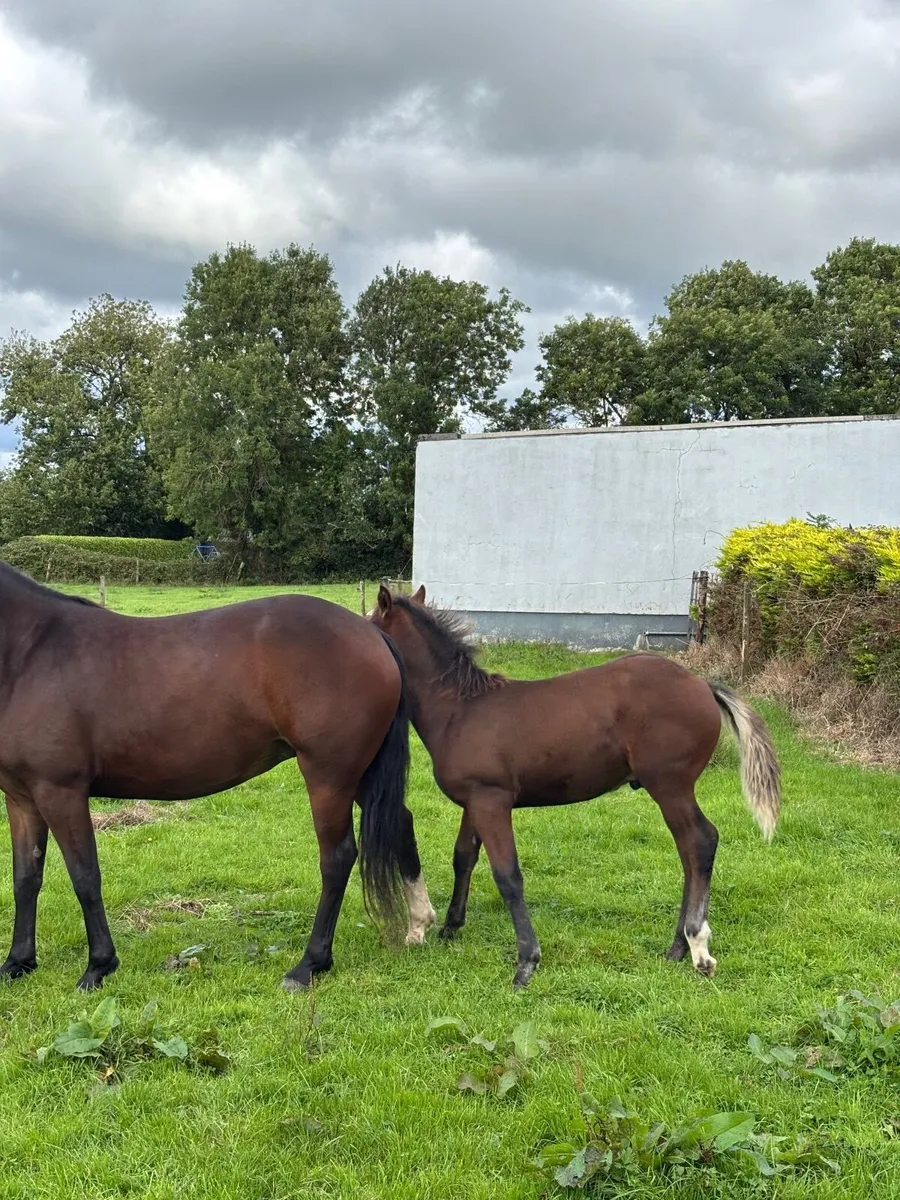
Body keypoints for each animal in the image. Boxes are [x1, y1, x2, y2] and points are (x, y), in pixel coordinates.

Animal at [0, 563, 435, 991]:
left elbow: (85, 876)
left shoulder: (61, 792)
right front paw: (17, 962)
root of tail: (372, 635)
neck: (32, 653)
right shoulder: (22, 798)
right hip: (359, 775)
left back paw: (309, 965)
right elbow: (25, 878)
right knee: (400, 822)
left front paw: (98, 967)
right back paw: (419, 924)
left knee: (337, 858)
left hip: (329, 776)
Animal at [370, 585, 781, 989]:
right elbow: (463, 858)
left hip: (670, 786)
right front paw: (450, 928)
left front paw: (526, 963)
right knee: (690, 851)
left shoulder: (492, 801)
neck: (459, 711)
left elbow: (508, 875)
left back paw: (697, 947)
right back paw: (678, 947)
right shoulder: (475, 801)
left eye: (372, 623)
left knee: (700, 842)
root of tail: (702, 685)